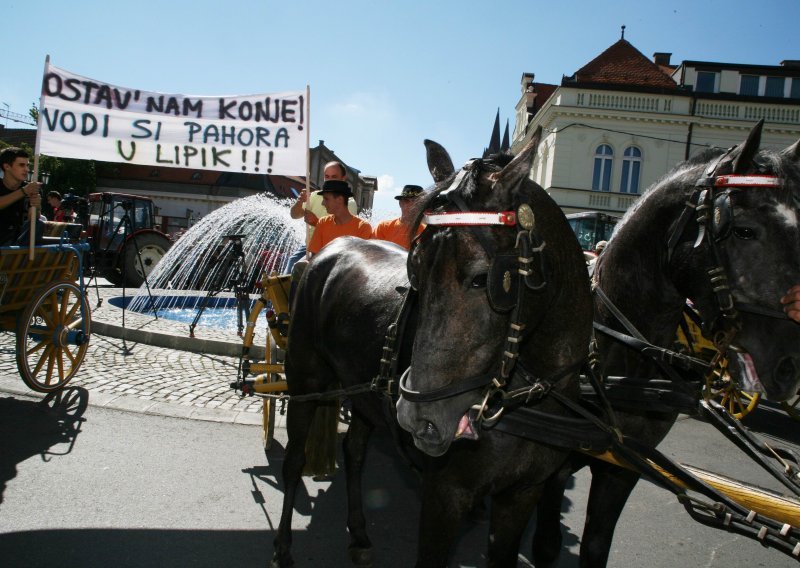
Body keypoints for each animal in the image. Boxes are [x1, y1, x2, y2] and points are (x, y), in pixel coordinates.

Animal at [272, 139, 592, 568]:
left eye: (484, 279)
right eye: (415, 268)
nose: (416, 417)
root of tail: (327, 251)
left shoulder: (523, 494)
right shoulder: (445, 495)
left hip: (364, 393)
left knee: (354, 452)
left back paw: (358, 532)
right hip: (305, 379)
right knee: (293, 461)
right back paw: (283, 545)